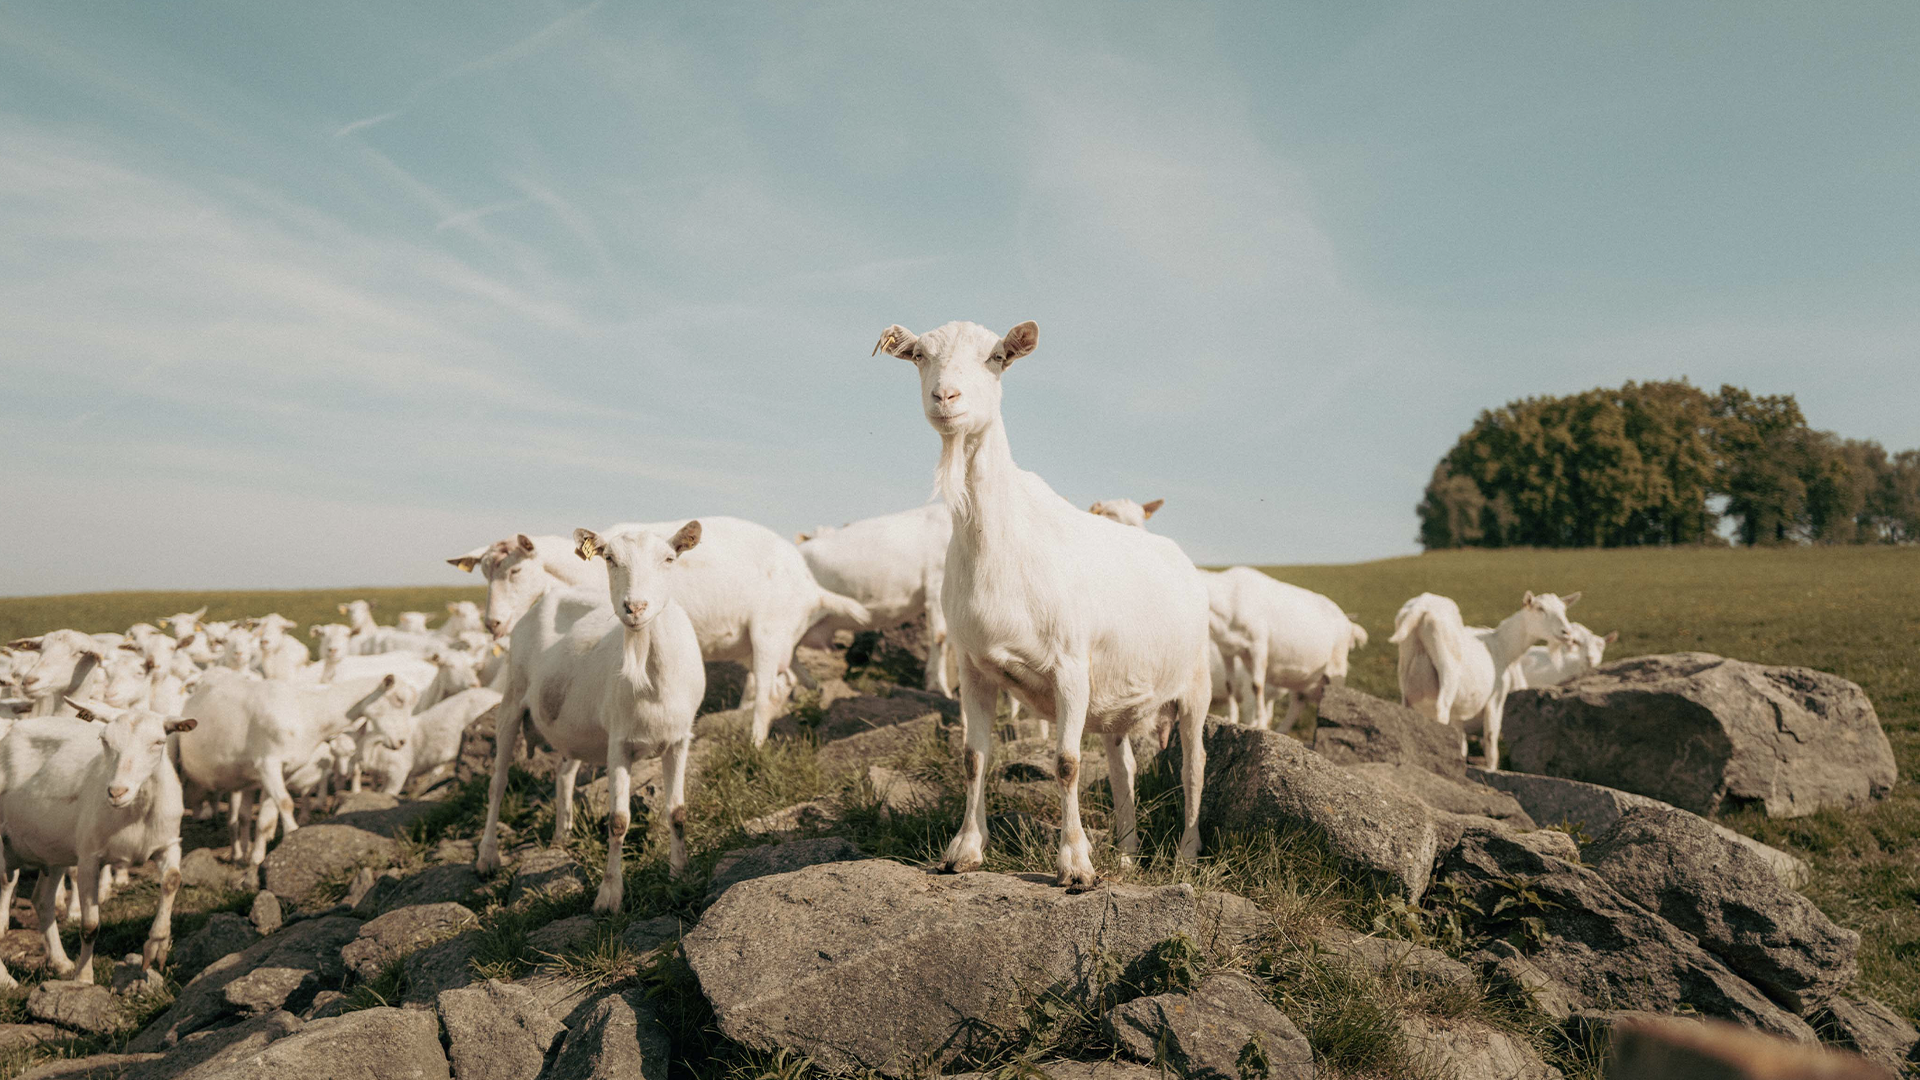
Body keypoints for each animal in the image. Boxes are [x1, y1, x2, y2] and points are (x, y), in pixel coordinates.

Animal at [476, 518, 710, 903]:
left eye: (669, 558)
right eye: (610, 559)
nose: (635, 606)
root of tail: (547, 598)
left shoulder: (679, 740)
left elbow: (677, 812)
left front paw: (680, 875)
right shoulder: (619, 743)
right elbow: (618, 820)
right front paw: (609, 895)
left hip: (573, 726)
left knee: (563, 773)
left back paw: (561, 836)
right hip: (512, 696)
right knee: (498, 783)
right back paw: (486, 857)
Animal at [875, 317, 1205, 883]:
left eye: (996, 357)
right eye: (919, 356)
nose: (945, 396)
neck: (1004, 537)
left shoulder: (1070, 665)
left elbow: (1067, 764)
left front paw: (1075, 865)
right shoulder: (974, 665)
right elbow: (973, 757)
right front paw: (964, 850)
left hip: (1196, 687)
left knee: (1192, 766)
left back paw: (1184, 857)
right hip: (1115, 703)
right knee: (1123, 768)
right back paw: (1126, 854)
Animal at [1390, 588, 1582, 764]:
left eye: (1563, 609)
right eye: (1540, 608)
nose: (1567, 633)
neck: (1503, 645)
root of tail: (1421, 608)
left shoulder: (1458, 712)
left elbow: (1462, 743)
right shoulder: (1495, 699)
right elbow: (1491, 743)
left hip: (1406, 674)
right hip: (1447, 668)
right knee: (1441, 708)